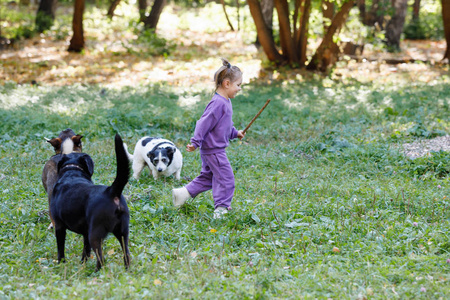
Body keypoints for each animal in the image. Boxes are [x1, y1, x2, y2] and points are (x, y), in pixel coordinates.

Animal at [52, 134, 132, 272]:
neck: (72, 171)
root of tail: (111, 191)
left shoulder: (59, 226)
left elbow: (60, 249)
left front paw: (61, 263)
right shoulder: (85, 232)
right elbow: (86, 250)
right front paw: (83, 263)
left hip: (95, 234)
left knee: (101, 258)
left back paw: (95, 273)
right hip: (122, 232)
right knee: (126, 254)